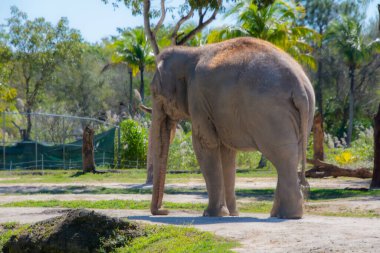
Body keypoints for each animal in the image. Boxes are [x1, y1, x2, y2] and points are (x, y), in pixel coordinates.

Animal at [148, 36, 314, 218]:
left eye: (155, 93)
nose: (164, 211)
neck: (190, 51)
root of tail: (300, 86)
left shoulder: (198, 99)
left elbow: (204, 144)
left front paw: (212, 214)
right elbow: (227, 153)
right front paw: (233, 214)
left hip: (272, 113)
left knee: (283, 156)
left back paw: (288, 215)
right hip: (305, 114)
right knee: (293, 155)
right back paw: (278, 214)